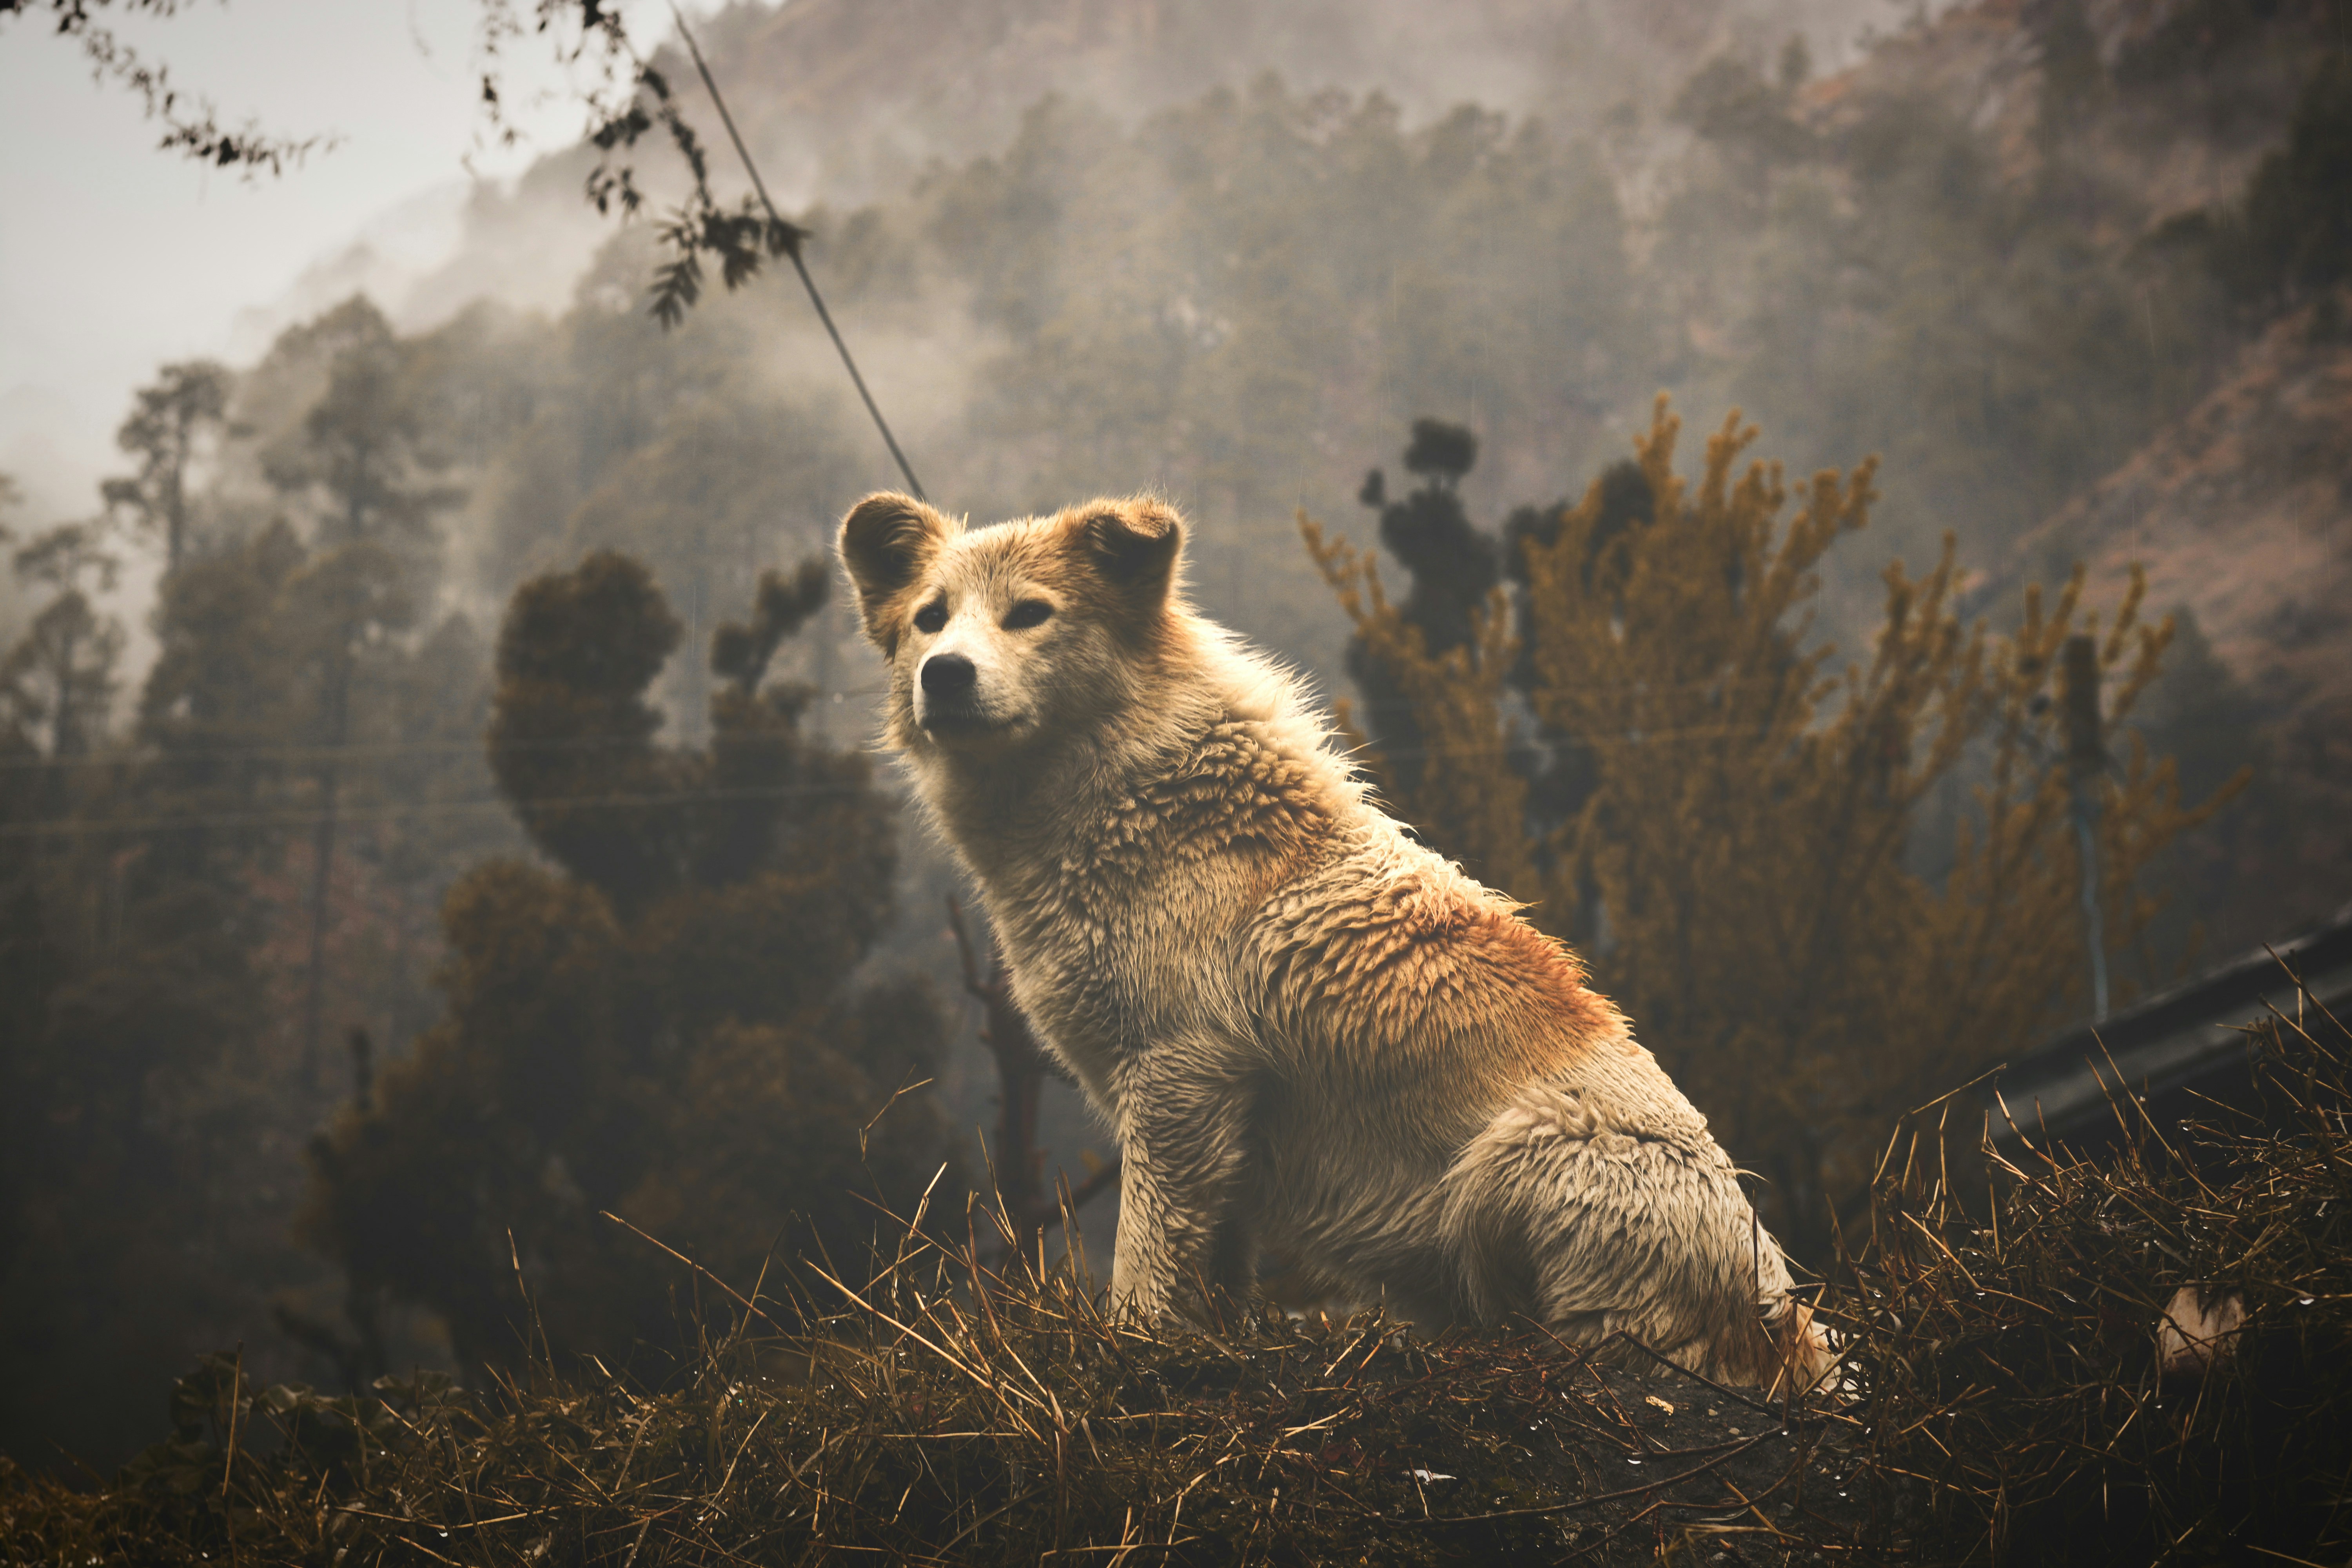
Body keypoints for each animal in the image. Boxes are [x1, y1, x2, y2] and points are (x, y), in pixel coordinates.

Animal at [839, 489, 1831, 1388]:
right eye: (931, 619)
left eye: (1029, 615)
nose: (946, 673)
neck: (1133, 799)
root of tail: (1788, 1320)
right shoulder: (1214, 1120)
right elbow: (1211, 1270)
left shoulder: (1177, 1076)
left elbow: (1147, 1258)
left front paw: (1130, 1350)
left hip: (1516, 1162)